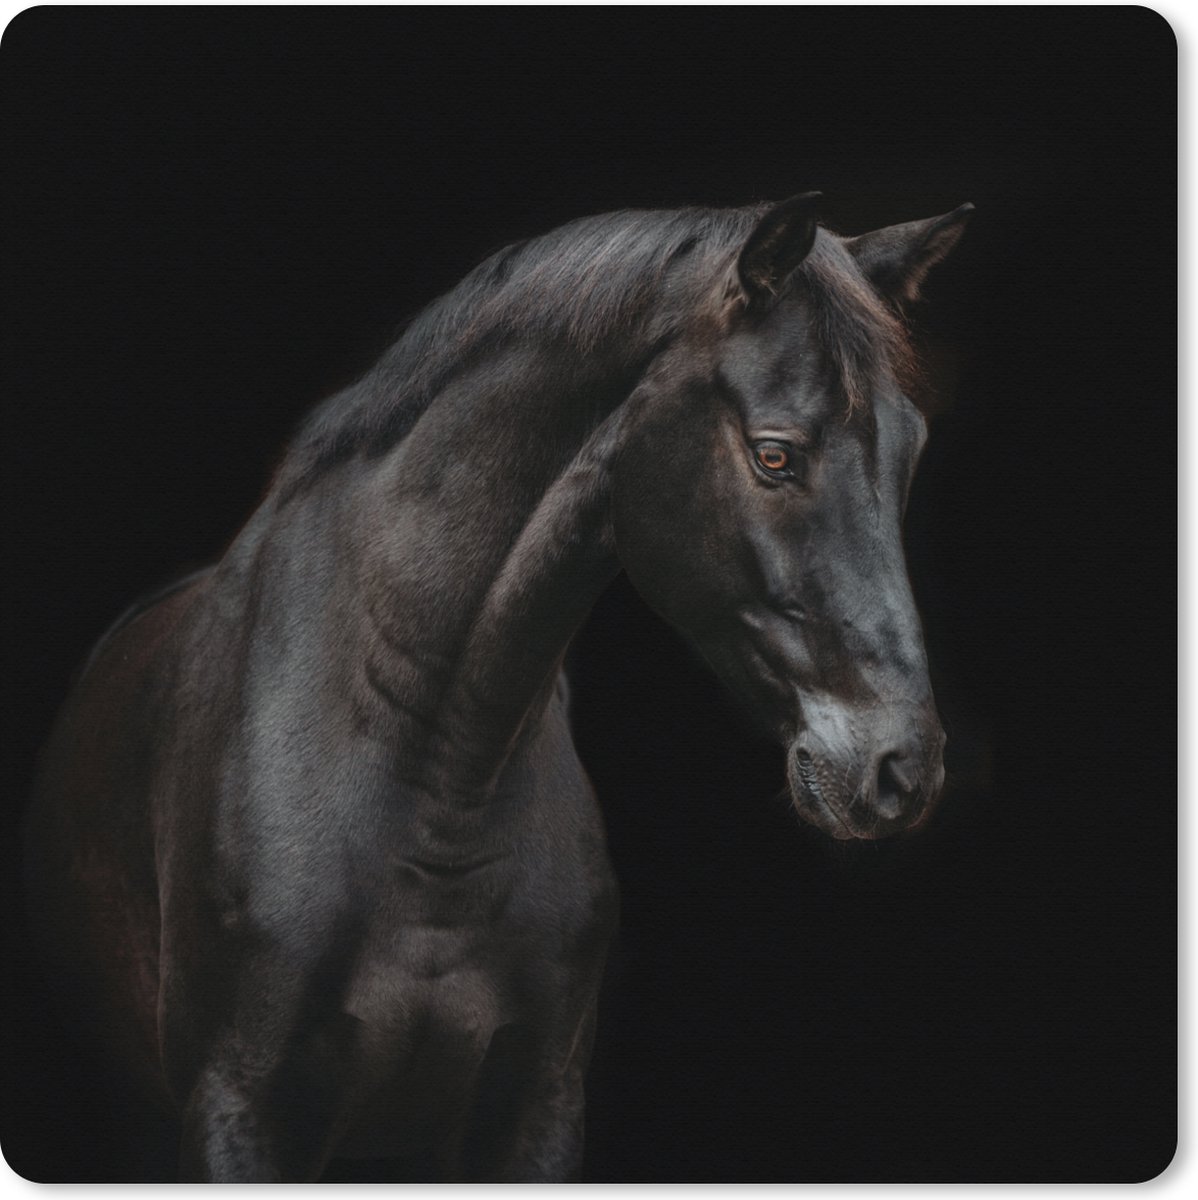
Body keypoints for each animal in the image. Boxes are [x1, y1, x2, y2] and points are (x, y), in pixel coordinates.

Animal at [23, 193, 972, 1181]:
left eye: (910, 452)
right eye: (775, 455)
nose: (902, 770)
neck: (436, 780)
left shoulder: (537, 1105)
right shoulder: (235, 1107)